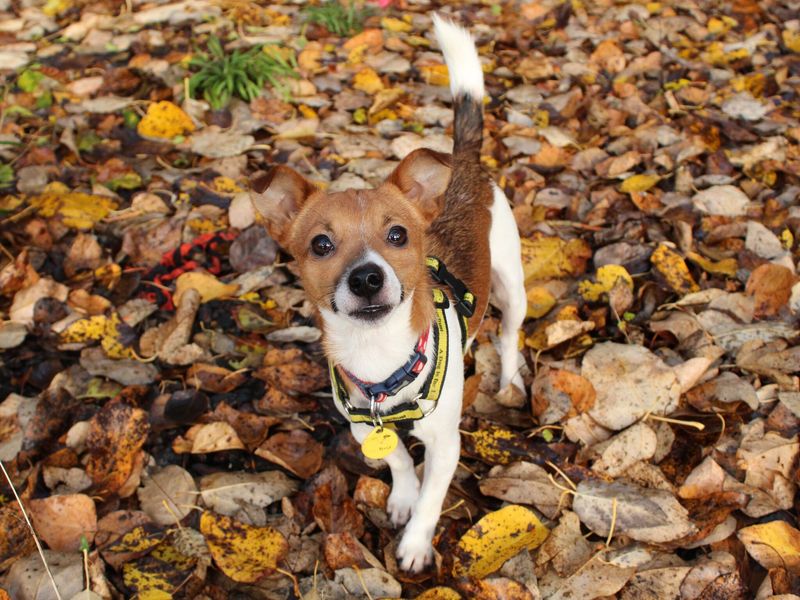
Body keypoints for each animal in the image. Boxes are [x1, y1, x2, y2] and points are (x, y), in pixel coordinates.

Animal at [250, 15, 524, 572]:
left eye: (397, 234)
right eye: (321, 244)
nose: (367, 278)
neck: (379, 358)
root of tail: (462, 162)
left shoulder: (445, 444)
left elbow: (434, 496)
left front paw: (416, 541)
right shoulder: (362, 427)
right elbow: (396, 457)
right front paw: (401, 496)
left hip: (512, 282)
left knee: (509, 334)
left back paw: (509, 376)